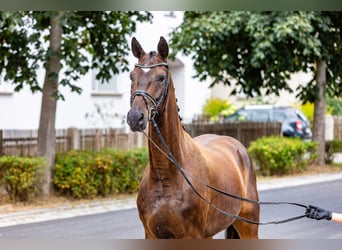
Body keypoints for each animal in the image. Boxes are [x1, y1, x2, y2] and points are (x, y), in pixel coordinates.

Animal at [126, 36, 260, 238]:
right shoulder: (151, 234)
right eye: (132, 76)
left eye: (161, 77)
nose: (135, 117)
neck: (166, 178)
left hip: (248, 227)